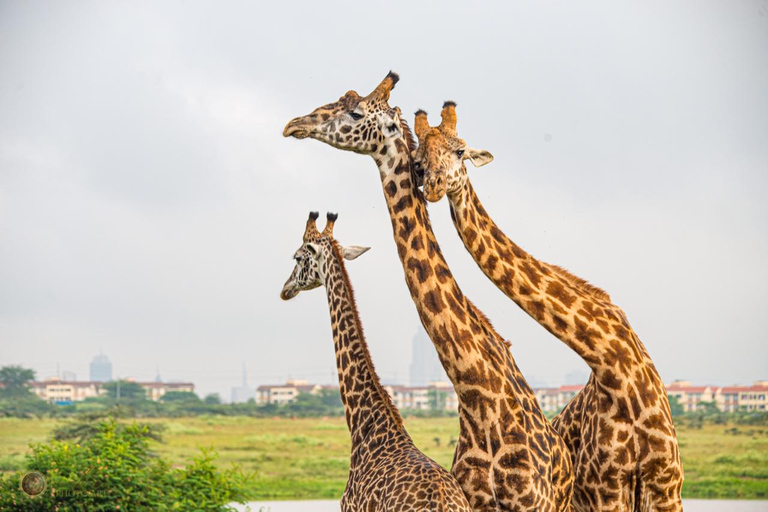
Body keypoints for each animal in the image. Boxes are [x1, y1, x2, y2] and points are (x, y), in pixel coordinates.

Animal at [408, 102, 684, 510]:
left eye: (460, 150)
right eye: (419, 162)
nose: (434, 186)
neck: (614, 364)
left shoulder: (665, 484)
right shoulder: (606, 489)